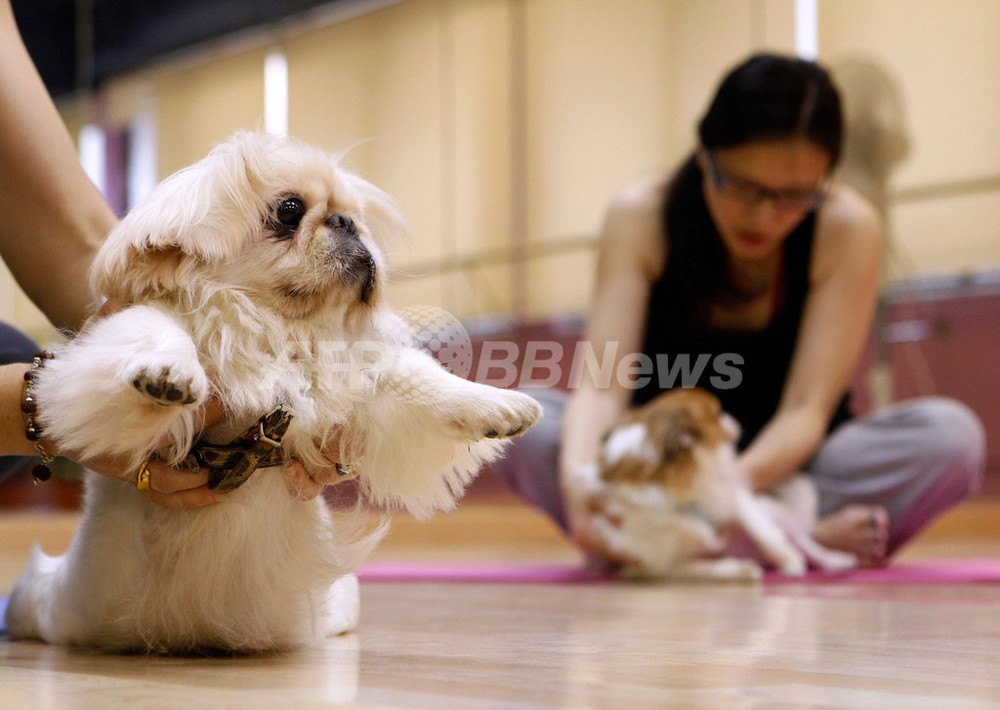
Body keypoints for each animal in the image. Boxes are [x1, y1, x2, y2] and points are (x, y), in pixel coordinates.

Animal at [3, 134, 544, 656]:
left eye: (354, 216)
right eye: (289, 210)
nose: (345, 222)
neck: (276, 326)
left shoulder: (359, 374)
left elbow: (419, 379)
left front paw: (497, 406)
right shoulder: (142, 325)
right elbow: (159, 333)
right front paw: (167, 375)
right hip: (52, 607)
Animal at [584, 390, 856, 584]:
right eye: (716, 415)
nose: (733, 419)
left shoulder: (736, 498)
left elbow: (764, 532)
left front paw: (789, 560)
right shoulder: (658, 565)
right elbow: (705, 568)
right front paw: (741, 570)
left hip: (778, 517)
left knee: (807, 544)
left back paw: (833, 561)